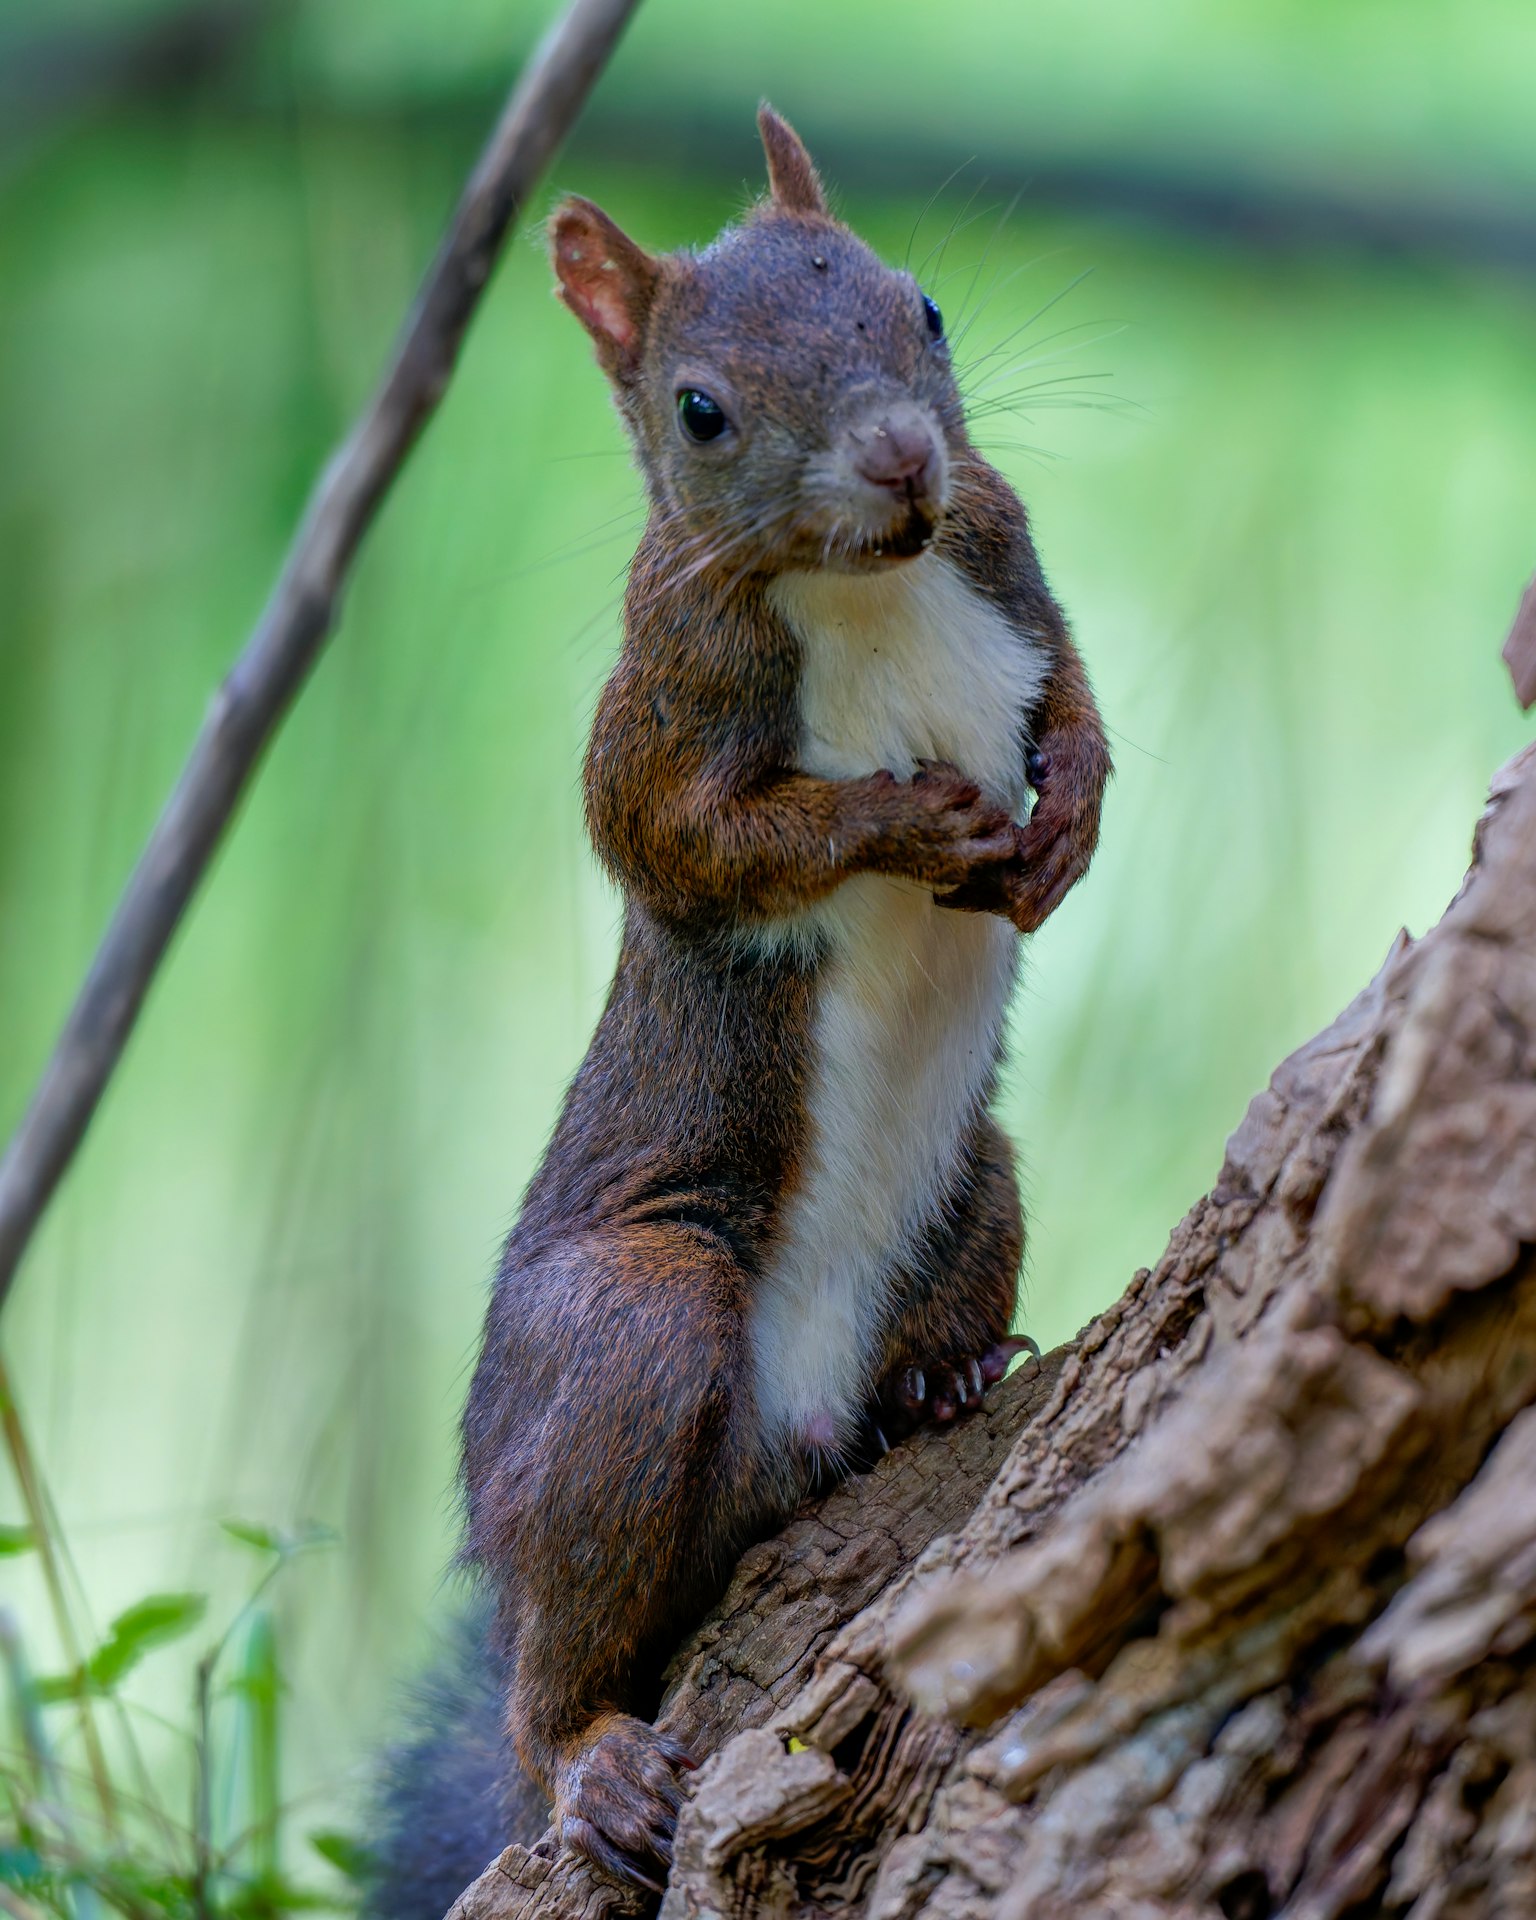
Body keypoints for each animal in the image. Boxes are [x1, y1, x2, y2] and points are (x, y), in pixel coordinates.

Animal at [366, 105, 1109, 1915]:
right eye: (700, 409)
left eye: (926, 309)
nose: (904, 461)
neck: (866, 589)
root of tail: (789, 1443)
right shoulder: (660, 712)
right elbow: (697, 842)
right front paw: (907, 823)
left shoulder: (1006, 550)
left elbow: (1075, 688)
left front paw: (1068, 816)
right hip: (632, 1330)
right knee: (553, 1655)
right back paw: (585, 1752)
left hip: (977, 1185)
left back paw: (938, 1389)